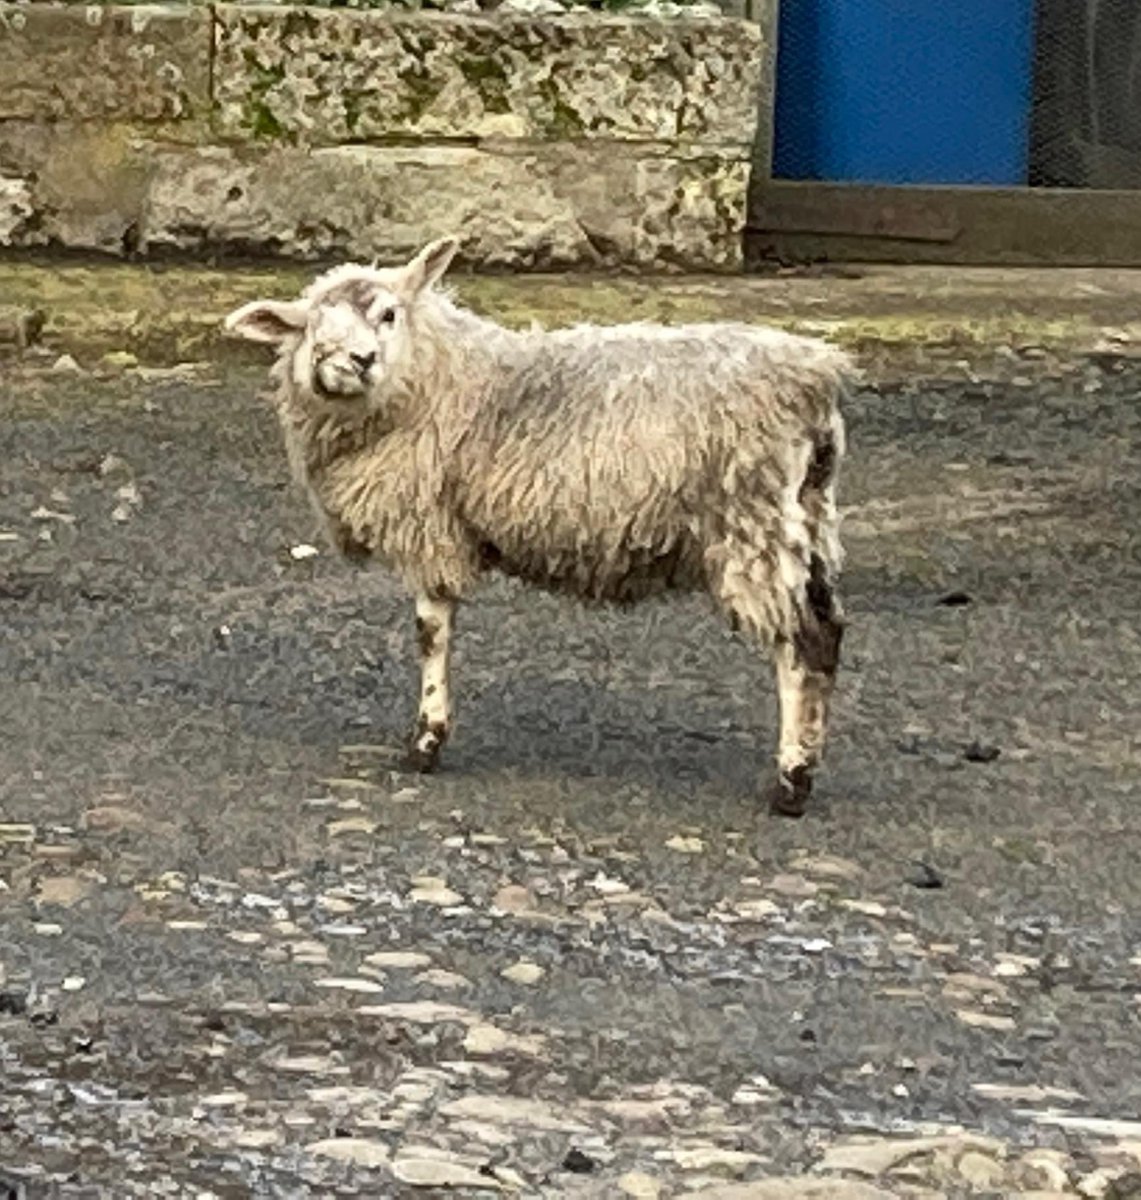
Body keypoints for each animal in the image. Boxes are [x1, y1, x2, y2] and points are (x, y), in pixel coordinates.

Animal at [223, 236, 854, 817]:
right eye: (313, 330)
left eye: (388, 314)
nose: (359, 361)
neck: (439, 375)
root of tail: (817, 379)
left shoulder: (430, 526)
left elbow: (430, 634)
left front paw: (425, 742)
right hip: (805, 520)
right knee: (829, 630)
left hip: (753, 522)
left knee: (803, 643)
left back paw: (791, 781)